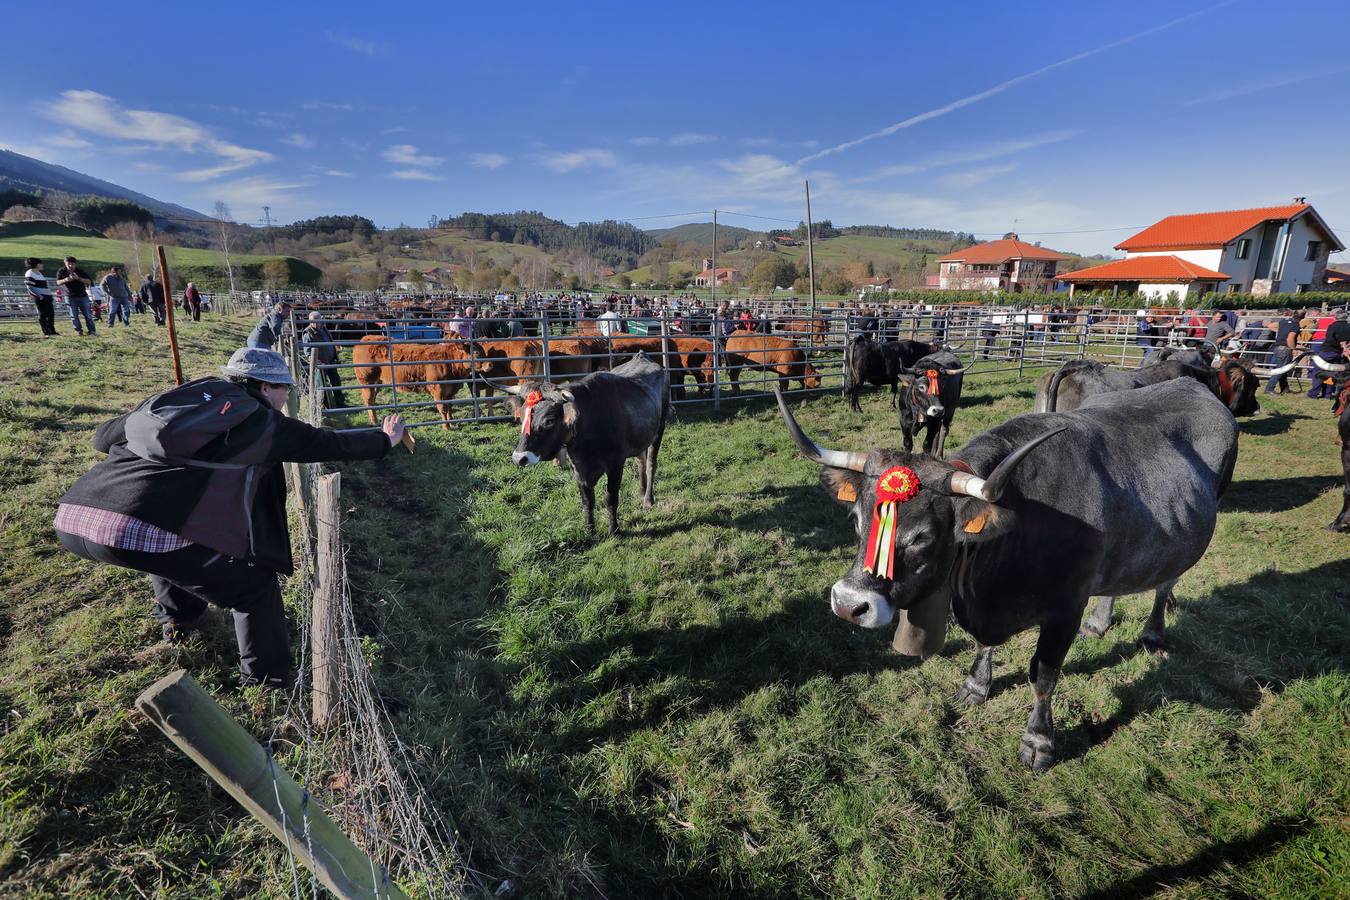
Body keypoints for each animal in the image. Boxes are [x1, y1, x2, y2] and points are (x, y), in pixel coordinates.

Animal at [504, 350, 666, 534]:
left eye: (549, 421)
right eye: (521, 417)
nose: (519, 458)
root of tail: (641, 355)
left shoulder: (616, 464)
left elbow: (611, 498)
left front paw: (614, 530)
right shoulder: (578, 468)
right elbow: (587, 500)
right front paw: (589, 530)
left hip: (659, 430)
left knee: (651, 464)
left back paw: (647, 500)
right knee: (641, 460)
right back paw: (641, 491)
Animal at [777, 377, 1236, 771]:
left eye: (922, 536)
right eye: (856, 519)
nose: (848, 604)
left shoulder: (1065, 608)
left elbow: (1044, 676)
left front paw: (1039, 742)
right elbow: (983, 646)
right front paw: (976, 686)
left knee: (1166, 582)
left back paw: (1153, 632)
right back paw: (1100, 622)